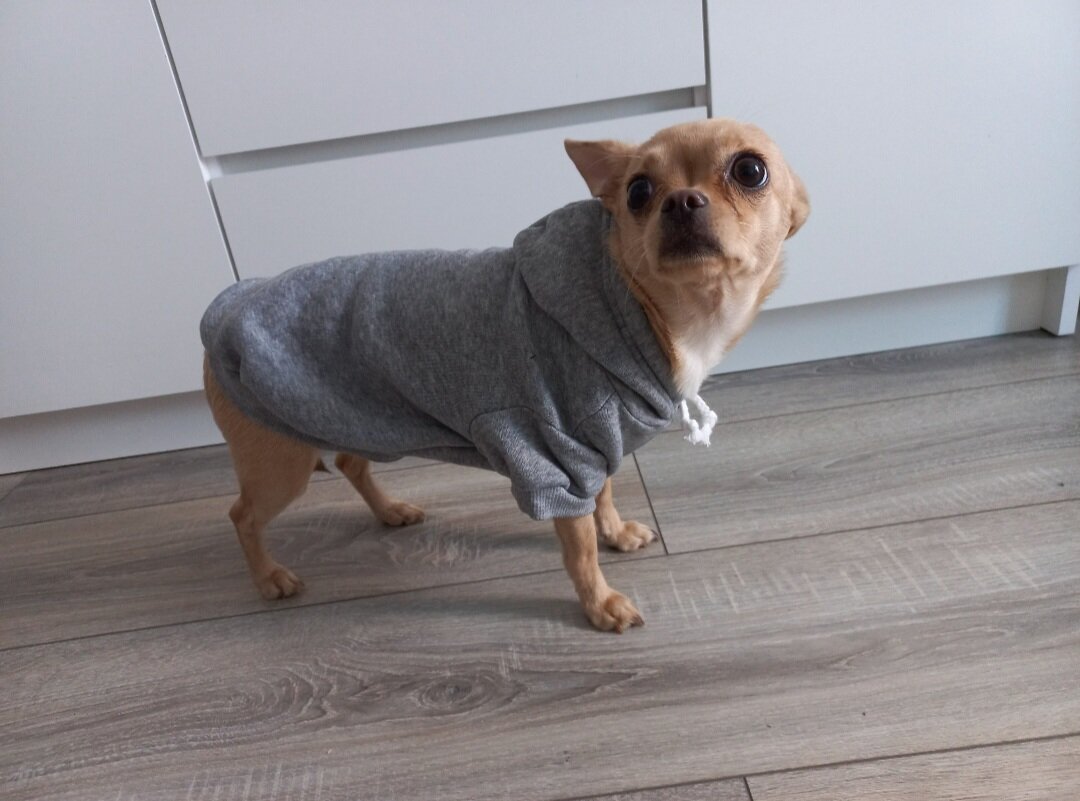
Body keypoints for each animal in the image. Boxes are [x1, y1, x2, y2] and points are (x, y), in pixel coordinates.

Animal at [201, 118, 808, 633]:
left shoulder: (594, 448)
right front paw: (600, 605)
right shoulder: (554, 462)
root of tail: (224, 308)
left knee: (351, 462)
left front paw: (615, 533)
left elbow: (605, 497)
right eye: (637, 192)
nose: (681, 200)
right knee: (241, 515)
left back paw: (390, 511)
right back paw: (269, 577)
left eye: (750, 170)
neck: (659, 317)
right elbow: (579, 547)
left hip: (355, 417)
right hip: (281, 463)